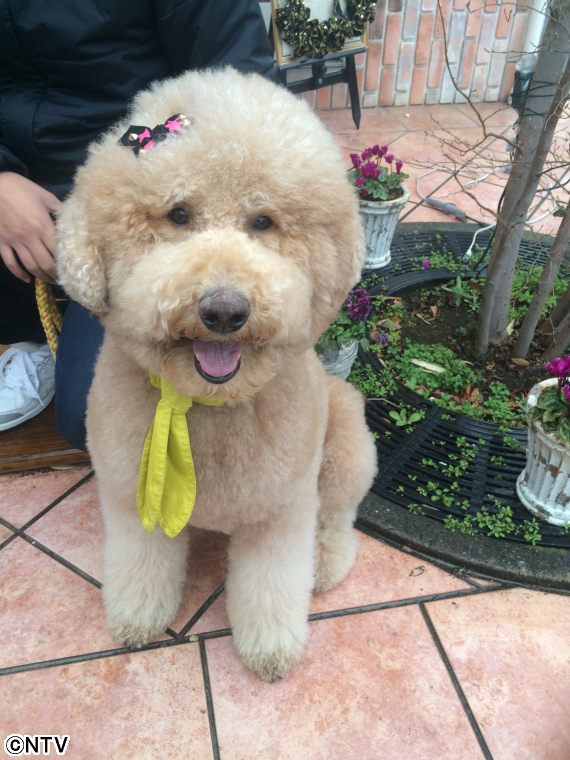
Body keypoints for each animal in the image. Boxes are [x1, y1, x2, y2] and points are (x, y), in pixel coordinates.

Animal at [56, 68, 377, 681]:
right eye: (179, 215)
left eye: (263, 222)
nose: (225, 311)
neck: (202, 406)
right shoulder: (133, 495)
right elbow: (142, 563)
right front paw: (137, 618)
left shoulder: (281, 513)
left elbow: (272, 586)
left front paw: (271, 651)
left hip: (346, 442)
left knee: (337, 517)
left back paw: (325, 563)